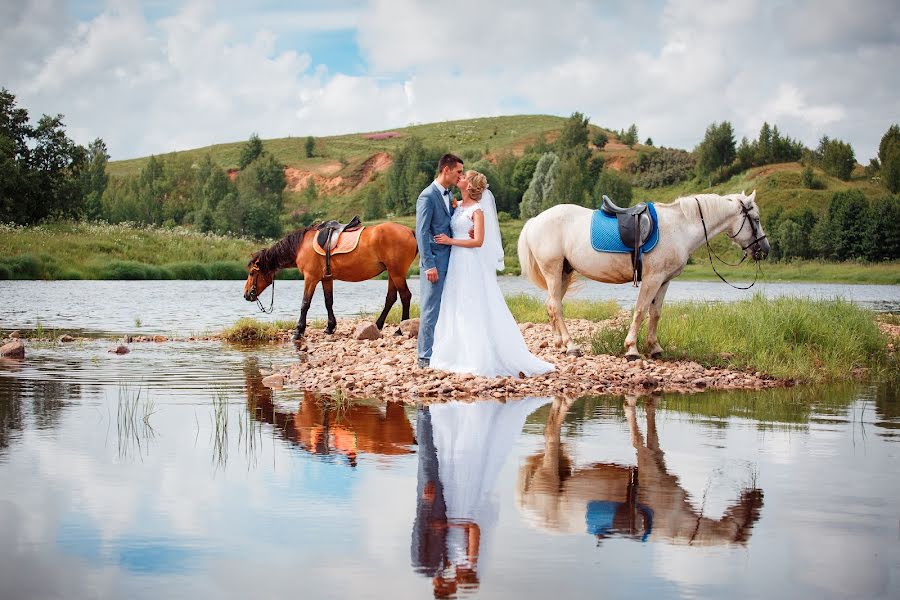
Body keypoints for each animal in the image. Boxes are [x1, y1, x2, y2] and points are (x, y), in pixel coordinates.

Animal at [243, 221, 418, 342]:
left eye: (252, 273)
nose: (246, 295)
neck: (301, 246)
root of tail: (410, 231)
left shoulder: (310, 278)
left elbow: (305, 303)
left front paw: (298, 331)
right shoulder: (326, 279)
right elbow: (329, 302)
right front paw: (330, 327)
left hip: (396, 273)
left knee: (405, 296)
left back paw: (400, 330)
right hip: (392, 273)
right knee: (391, 298)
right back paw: (379, 325)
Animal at [516, 192, 768, 358]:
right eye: (755, 219)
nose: (764, 250)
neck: (679, 227)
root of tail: (535, 220)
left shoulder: (664, 281)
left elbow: (655, 313)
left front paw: (654, 347)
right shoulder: (652, 279)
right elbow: (640, 310)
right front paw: (632, 349)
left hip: (564, 273)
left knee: (551, 305)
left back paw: (559, 344)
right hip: (552, 270)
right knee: (556, 307)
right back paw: (571, 346)